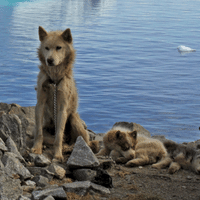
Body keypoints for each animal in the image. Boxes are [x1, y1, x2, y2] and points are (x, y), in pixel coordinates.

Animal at [31, 26, 98, 161]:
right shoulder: (40, 103)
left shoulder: (63, 108)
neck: (54, 79)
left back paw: (67, 148)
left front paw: (57, 154)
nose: (49, 60)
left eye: (59, 47)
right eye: (46, 48)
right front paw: (37, 148)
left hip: (73, 119)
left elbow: (59, 135)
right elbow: (39, 132)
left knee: (81, 142)